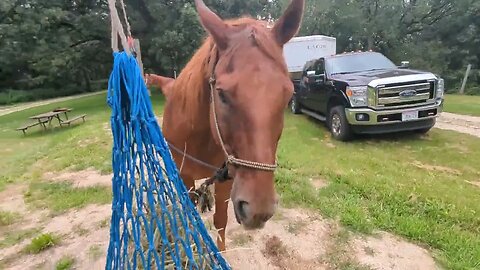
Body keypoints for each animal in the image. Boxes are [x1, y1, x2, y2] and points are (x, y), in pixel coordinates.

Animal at [145, 0, 304, 251]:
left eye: (288, 95)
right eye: (221, 94)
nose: (258, 210)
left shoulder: (227, 179)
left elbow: (221, 220)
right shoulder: (185, 176)